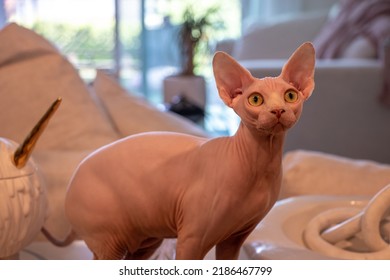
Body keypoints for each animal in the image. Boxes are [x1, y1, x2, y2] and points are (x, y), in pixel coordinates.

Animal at [62, 42, 316, 260]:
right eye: (255, 100)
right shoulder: (192, 238)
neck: (259, 167)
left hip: (146, 238)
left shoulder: (234, 238)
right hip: (110, 241)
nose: (278, 110)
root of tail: (71, 184)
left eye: (290, 96)